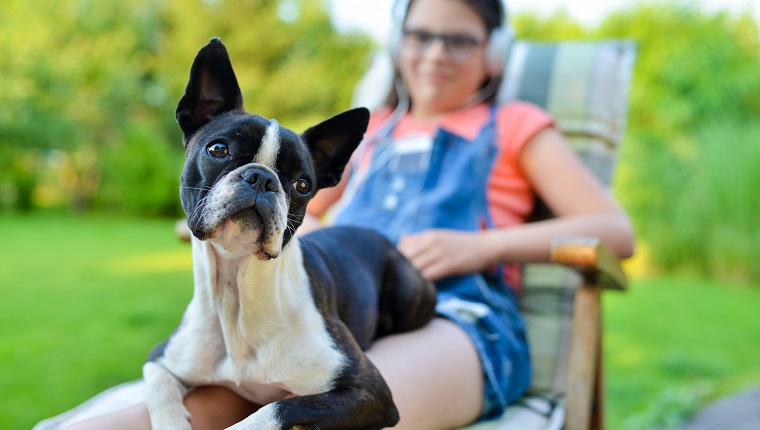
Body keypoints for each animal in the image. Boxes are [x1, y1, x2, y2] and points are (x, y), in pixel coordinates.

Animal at [142, 37, 436, 430]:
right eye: (218, 149)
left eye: (303, 184)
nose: (261, 178)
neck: (237, 293)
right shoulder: (162, 360)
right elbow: (161, 395)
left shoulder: (370, 392)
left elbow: (274, 409)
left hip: (407, 293)